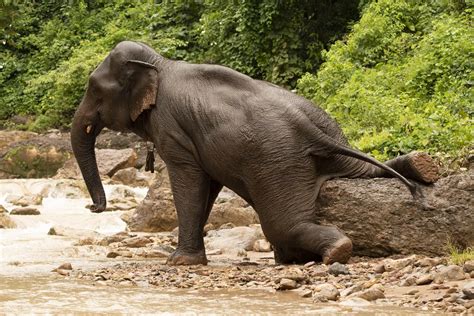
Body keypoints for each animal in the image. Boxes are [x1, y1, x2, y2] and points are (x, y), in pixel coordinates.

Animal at [70, 40, 436, 266]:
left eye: (94, 90)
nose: (93, 207)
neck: (160, 63)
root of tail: (307, 125)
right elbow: (208, 185)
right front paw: (189, 259)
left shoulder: (171, 129)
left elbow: (188, 180)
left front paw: (178, 262)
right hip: (328, 136)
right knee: (359, 170)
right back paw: (422, 165)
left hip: (279, 161)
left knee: (280, 225)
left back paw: (334, 252)